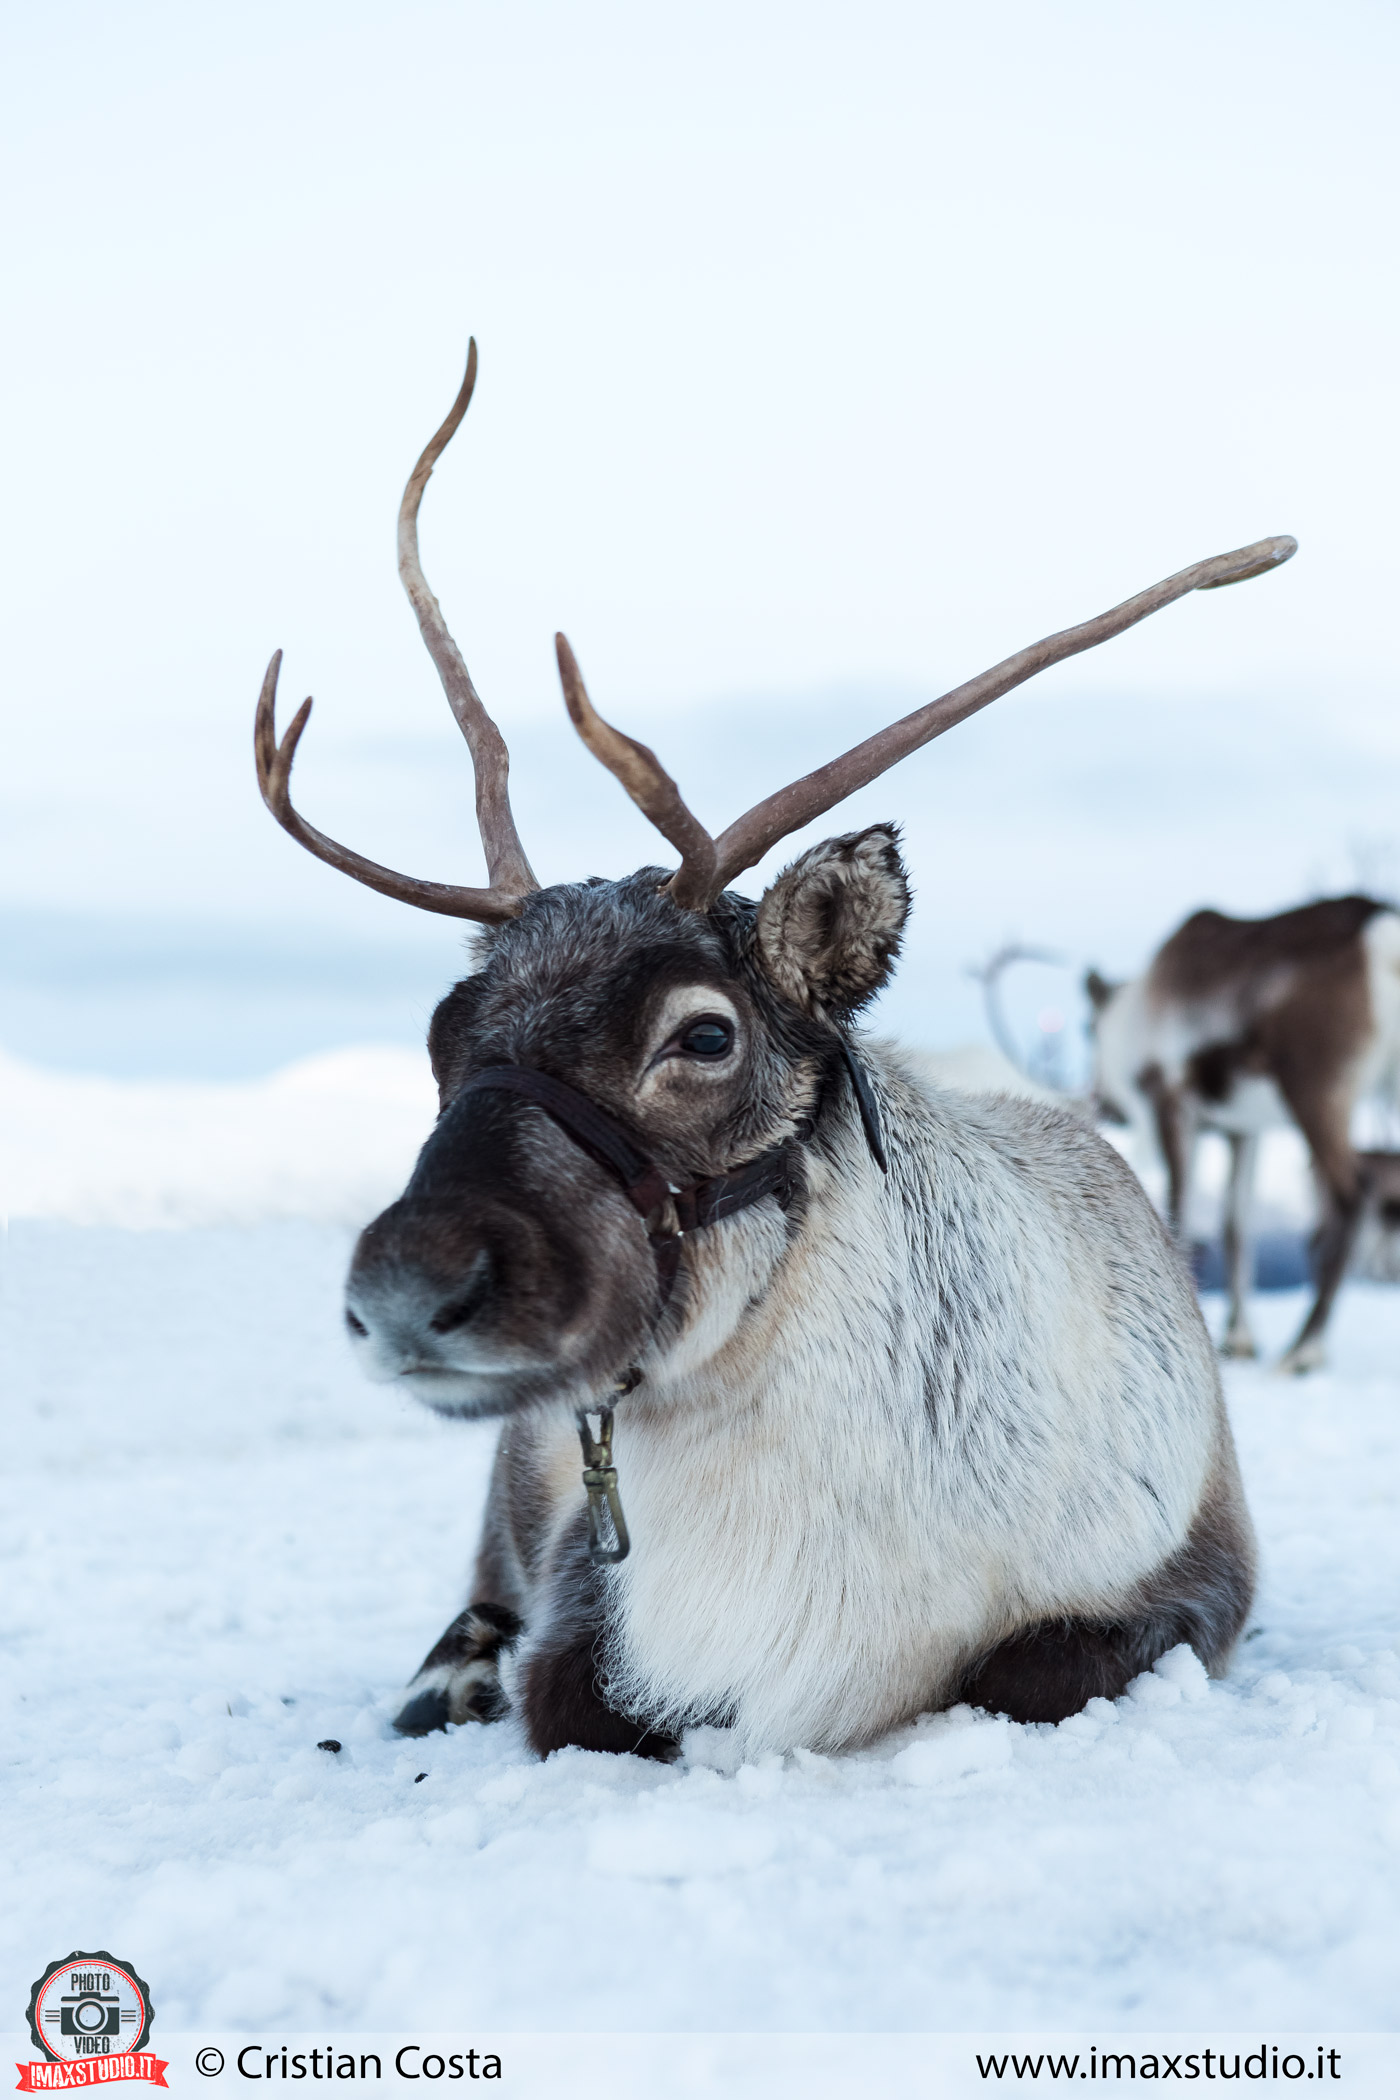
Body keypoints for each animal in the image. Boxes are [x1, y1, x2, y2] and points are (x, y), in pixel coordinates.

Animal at [254, 342, 1292, 1760]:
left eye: (704, 1032)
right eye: (441, 1034)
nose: (410, 1291)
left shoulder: (1196, 1576)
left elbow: (1028, 1671)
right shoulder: (585, 1584)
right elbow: (568, 1694)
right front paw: (488, 1681)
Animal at [1088, 899, 1400, 1376]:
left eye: (1088, 1030)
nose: (1103, 1103)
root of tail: (1382, 932)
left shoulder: (1173, 1104)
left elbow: (1180, 1214)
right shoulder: (1242, 1130)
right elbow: (1235, 1228)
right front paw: (1239, 1340)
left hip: (1314, 1087)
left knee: (1351, 1195)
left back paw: (1304, 1349)